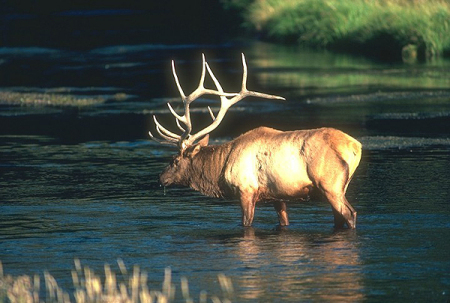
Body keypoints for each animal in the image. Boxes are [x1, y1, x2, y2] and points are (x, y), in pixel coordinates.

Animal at [151, 54, 362, 229]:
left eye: (174, 160)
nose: (160, 177)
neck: (220, 169)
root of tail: (355, 146)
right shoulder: (277, 196)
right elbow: (284, 221)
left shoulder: (246, 189)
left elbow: (246, 223)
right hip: (341, 185)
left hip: (330, 185)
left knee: (349, 213)